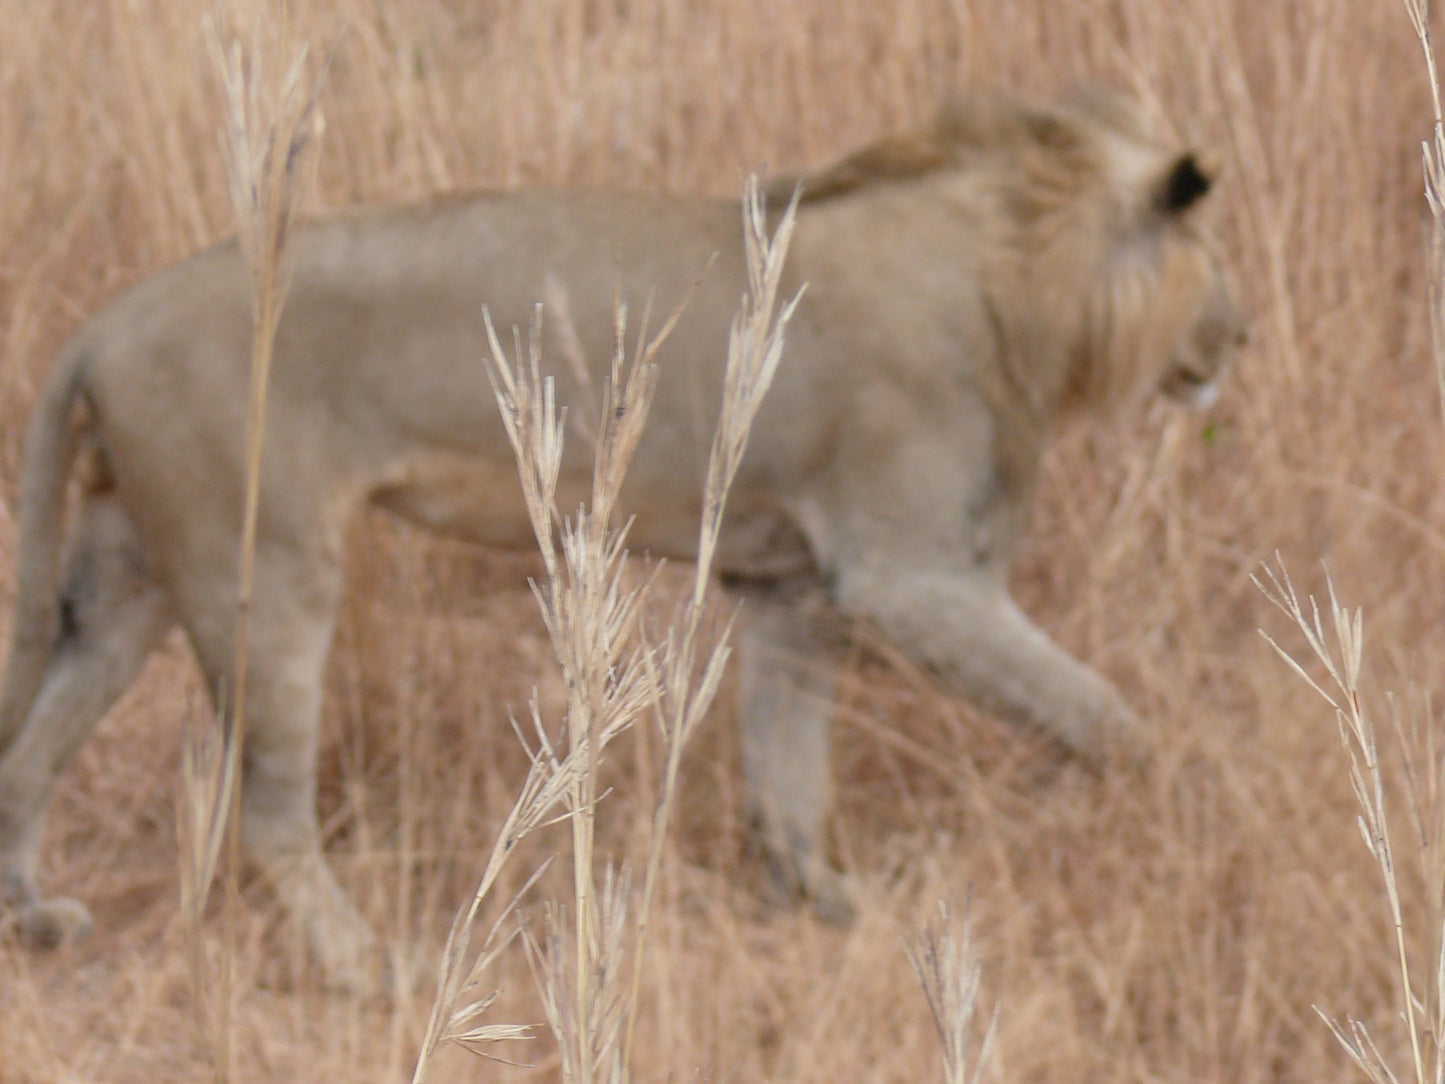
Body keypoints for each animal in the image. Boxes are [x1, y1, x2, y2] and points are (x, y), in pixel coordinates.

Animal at [0, 89, 1242, 994]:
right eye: (1207, 265)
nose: (1239, 336)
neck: (1019, 272)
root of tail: (101, 324)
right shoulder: (906, 575)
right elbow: (1102, 712)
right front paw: (1164, 803)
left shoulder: (795, 591)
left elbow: (786, 771)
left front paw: (832, 908)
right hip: (263, 566)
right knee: (264, 813)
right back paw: (367, 967)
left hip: (128, 578)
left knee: (31, 751)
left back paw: (36, 919)